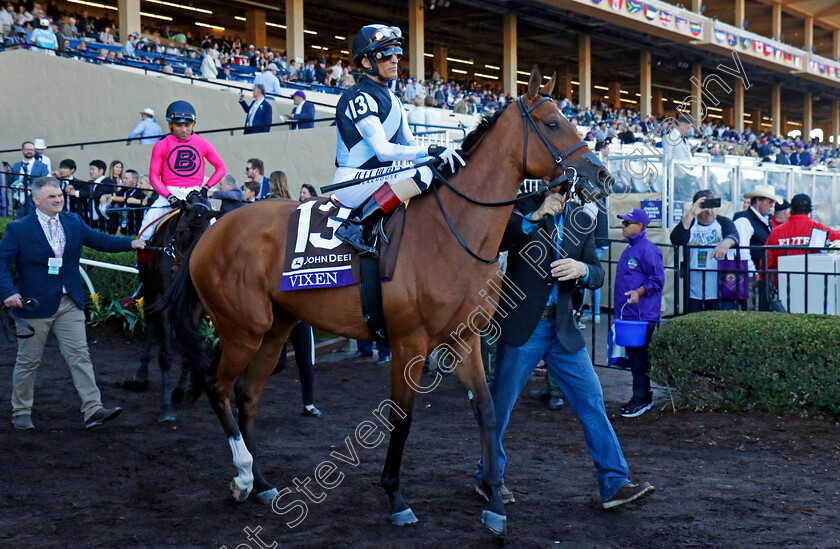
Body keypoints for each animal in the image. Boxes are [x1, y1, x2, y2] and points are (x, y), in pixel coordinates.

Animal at [123, 191, 220, 422]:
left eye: (203, 236)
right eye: (181, 232)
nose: (182, 272)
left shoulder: (194, 307)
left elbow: (188, 346)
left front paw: (179, 392)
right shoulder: (164, 303)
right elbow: (166, 354)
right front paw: (166, 405)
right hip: (152, 293)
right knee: (151, 324)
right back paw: (141, 376)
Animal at [158, 69, 612, 536]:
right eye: (553, 123)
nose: (602, 176)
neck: (452, 233)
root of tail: (213, 228)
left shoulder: (464, 340)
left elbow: (488, 412)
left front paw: (495, 503)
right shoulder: (409, 343)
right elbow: (402, 418)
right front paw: (396, 497)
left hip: (275, 328)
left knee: (247, 395)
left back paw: (264, 482)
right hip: (242, 330)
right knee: (217, 386)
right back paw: (244, 475)